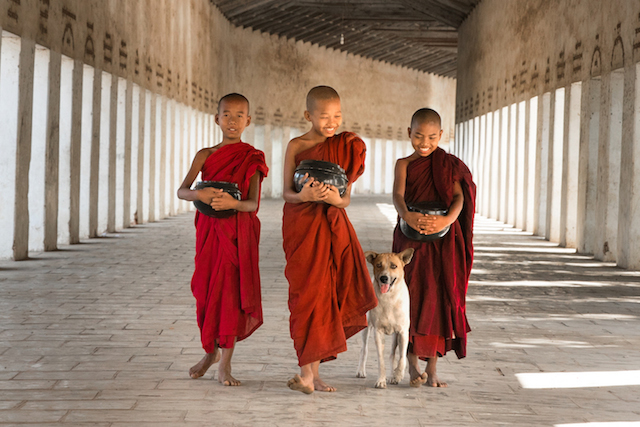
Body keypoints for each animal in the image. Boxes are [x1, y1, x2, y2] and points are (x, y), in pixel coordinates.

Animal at [358, 249, 412, 390]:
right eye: (378, 265)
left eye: (394, 266)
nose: (384, 278)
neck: (389, 298)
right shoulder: (378, 331)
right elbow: (380, 360)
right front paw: (381, 381)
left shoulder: (403, 332)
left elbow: (402, 357)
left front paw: (397, 375)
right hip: (366, 327)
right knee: (364, 349)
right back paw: (361, 371)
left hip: (395, 335)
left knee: (393, 353)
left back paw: (393, 374)